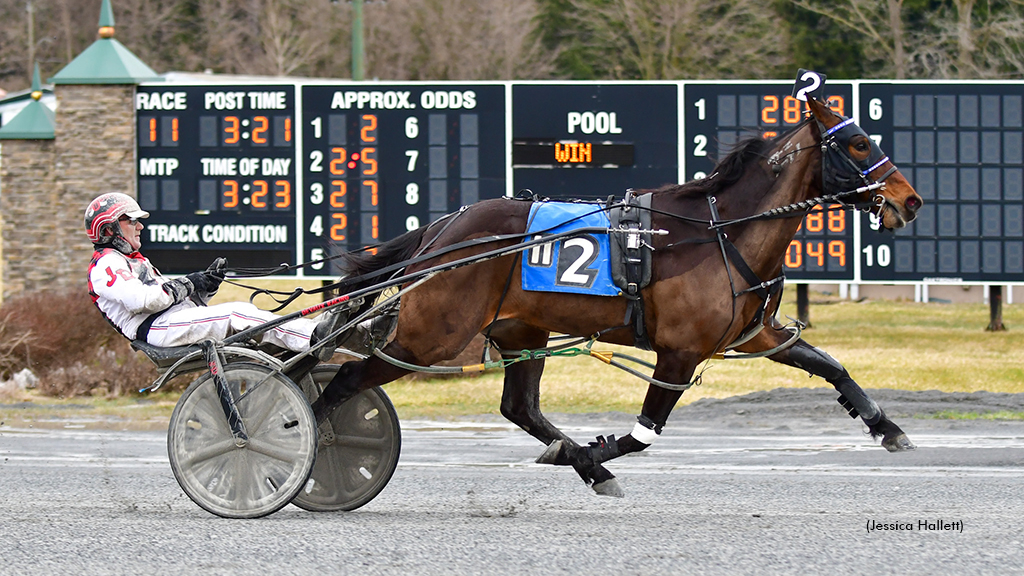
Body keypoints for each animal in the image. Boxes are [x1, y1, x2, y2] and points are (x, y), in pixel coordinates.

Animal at [307, 94, 925, 494]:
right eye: (858, 142)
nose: (910, 200)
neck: (719, 232)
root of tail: (441, 230)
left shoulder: (755, 335)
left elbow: (830, 365)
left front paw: (888, 428)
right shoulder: (679, 352)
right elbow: (645, 433)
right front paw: (592, 451)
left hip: (522, 330)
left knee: (519, 407)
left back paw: (585, 465)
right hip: (430, 336)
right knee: (346, 377)